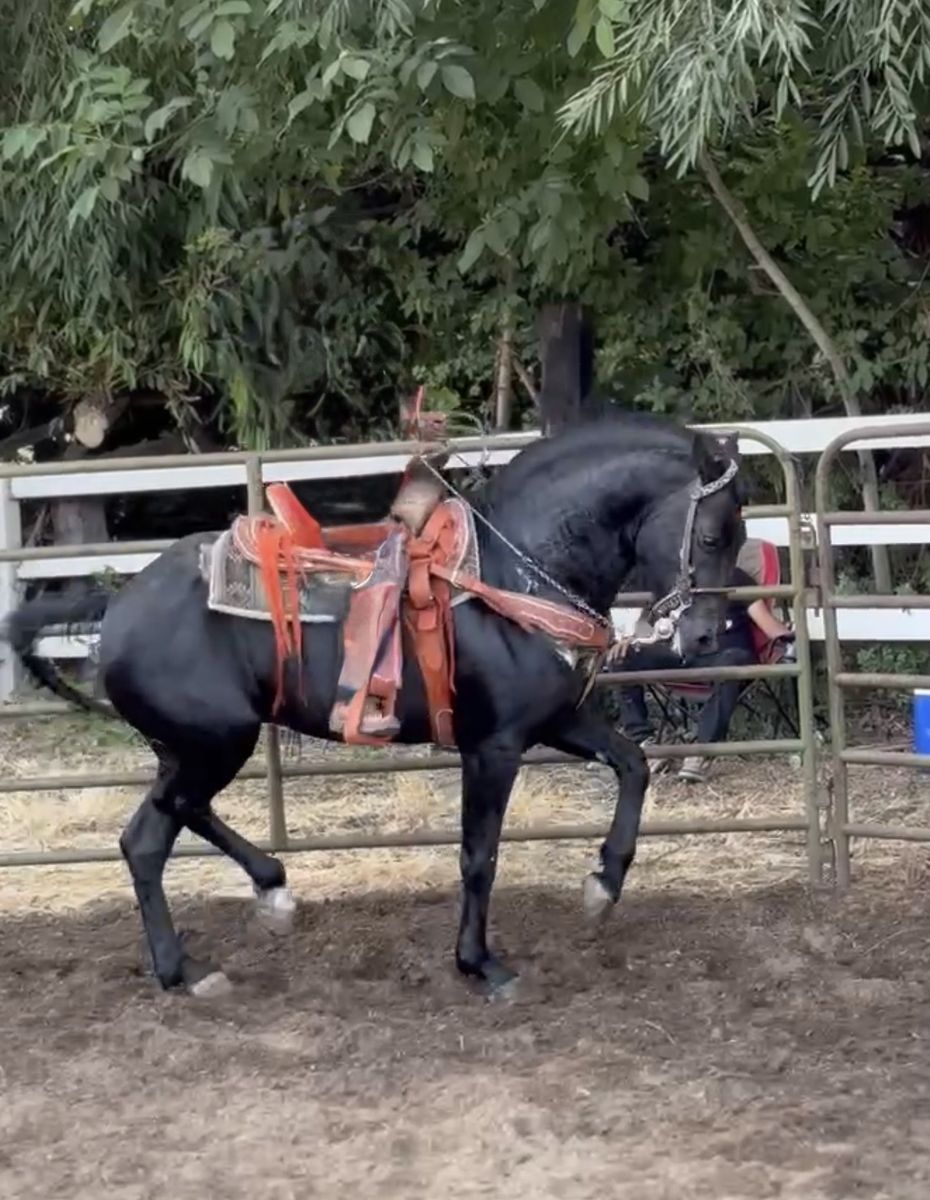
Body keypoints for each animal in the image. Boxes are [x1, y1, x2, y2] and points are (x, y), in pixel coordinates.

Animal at [1, 411, 745, 999]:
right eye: (712, 536)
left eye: (736, 537)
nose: (707, 635)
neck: (513, 574)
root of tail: (118, 604)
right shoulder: (495, 746)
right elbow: (480, 854)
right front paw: (481, 965)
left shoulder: (557, 719)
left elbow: (633, 765)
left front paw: (604, 883)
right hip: (215, 742)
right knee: (154, 835)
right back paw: (194, 961)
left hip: (192, 747)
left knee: (167, 823)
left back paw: (257, 902)